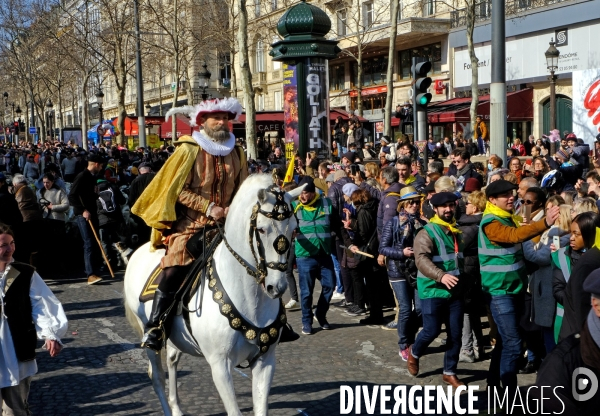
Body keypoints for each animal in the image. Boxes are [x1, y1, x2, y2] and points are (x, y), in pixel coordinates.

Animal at [124, 176, 304, 416]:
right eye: (262, 229)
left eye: (293, 229)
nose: (277, 287)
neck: (249, 299)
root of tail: (139, 250)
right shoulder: (220, 365)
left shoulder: (265, 360)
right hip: (147, 332)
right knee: (157, 377)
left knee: (172, 361)